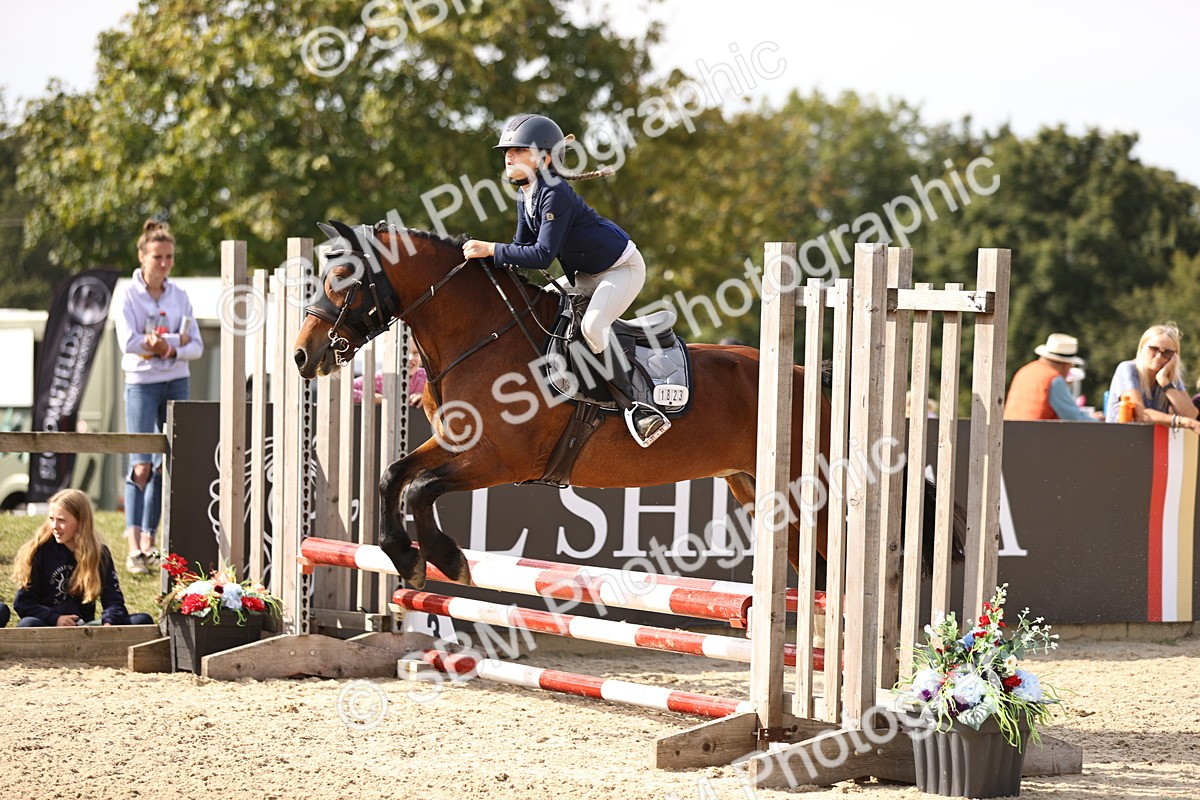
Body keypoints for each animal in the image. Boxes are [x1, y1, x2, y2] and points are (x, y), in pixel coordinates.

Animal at [293, 221, 952, 589]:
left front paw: (447, 560)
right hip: (764, 493)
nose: (302, 356)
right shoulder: (458, 443)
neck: (482, 336)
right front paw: (406, 560)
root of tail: (810, 378)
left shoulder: (500, 461)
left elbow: (421, 489)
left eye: (344, 282)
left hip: (811, 493)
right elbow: (393, 476)